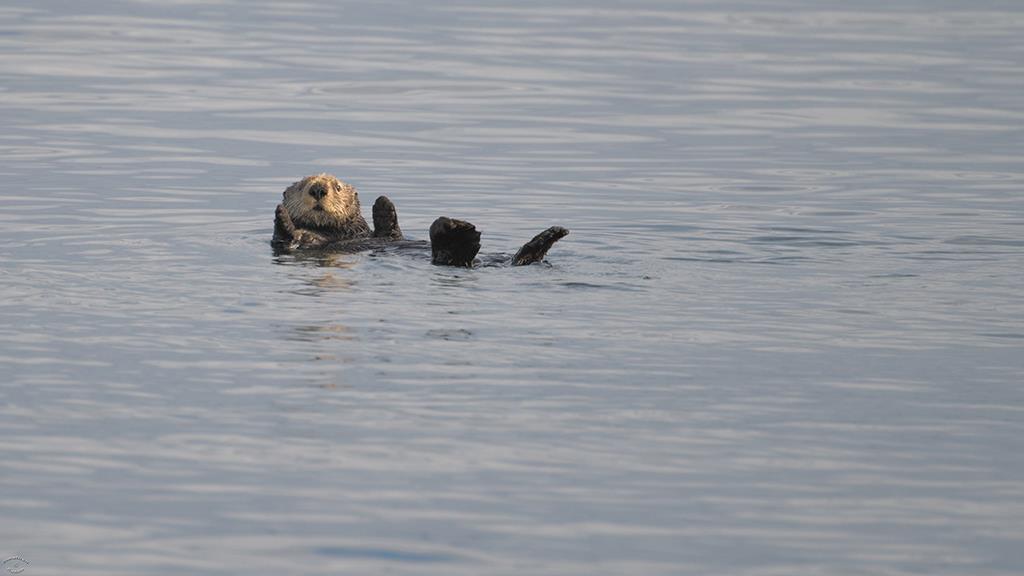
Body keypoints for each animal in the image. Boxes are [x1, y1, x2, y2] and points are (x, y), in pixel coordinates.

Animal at [272, 174, 573, 266]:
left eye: (336, 186)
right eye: (303, 185)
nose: (318, 189)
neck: (336, 234)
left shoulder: (384, 234)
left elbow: (390, 231)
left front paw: (383, 203)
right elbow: (287, 239)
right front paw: (283, 216)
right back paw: (458, 233)